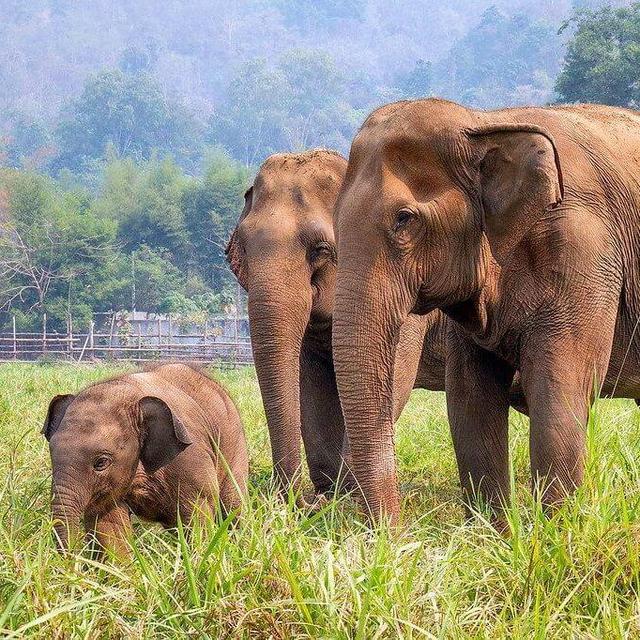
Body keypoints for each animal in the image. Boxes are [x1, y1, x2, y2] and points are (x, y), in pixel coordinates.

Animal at [42, 363, 248, 556]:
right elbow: (109, 524)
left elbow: (197, 511)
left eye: (101, 462)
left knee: (232, 506)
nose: (74, 560)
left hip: (235, 444)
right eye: (52, 454)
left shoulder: (191, 457)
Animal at [226, 149, 450, 500]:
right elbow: (311, 380)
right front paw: (329, 494)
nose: (292, 499)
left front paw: (344, 496)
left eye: (319, 250)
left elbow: (392, 378)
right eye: (243, 249)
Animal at [332, 98, 640, 525]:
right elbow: (470, 403)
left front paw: (555, 533)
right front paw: (495, 533)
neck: (485, 123)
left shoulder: (585, 252)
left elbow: (559, 398)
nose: (395, 532)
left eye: (404, 219)